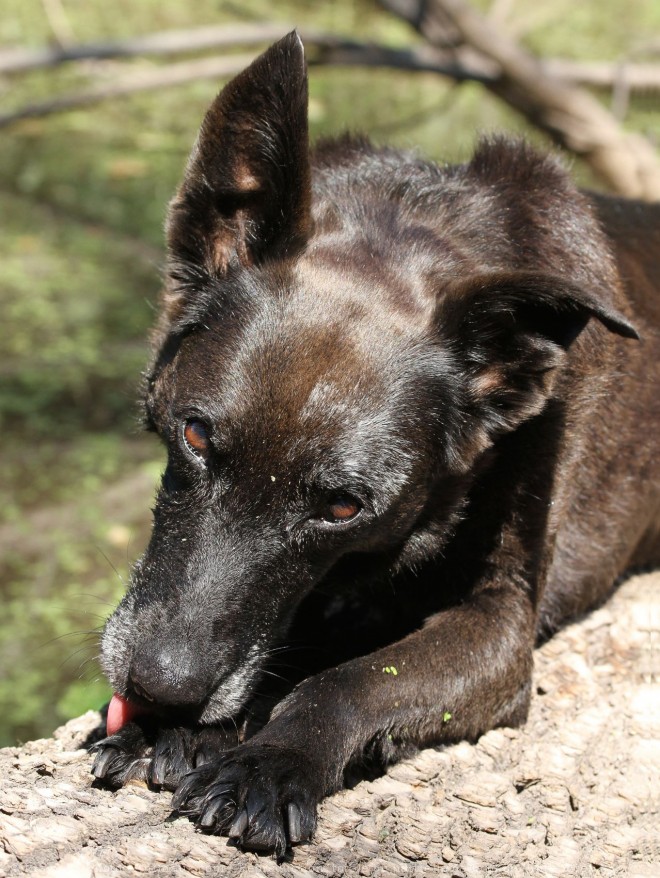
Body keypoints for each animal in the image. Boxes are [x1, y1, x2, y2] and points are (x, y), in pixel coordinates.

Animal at [93, 32, 660, 860]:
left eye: (342, 506)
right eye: (195, 433)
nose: (161, 691)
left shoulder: (502, 625)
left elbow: (355, 678)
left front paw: (269, 759)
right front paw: (166, 732)